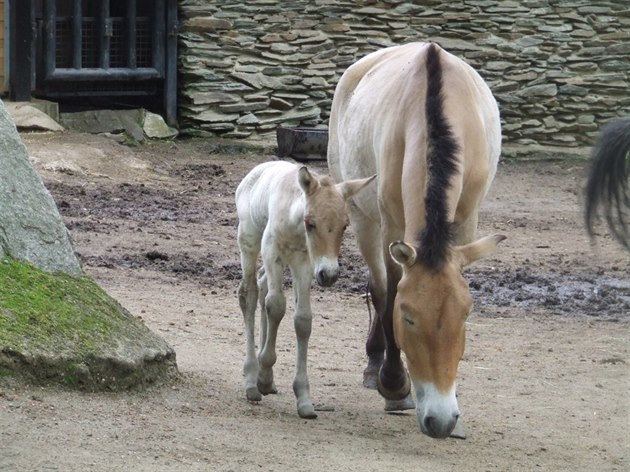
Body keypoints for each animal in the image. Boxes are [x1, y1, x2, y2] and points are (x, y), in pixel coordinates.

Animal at [237, 161, 376, 416]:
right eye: (310, 223)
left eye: (345, 225)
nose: (329, 275)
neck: (294, 221)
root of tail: (255, 172)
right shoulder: (272, 251)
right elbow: (276, 306)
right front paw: (263, 376)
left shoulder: (305, 263)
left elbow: (302, 320)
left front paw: (303, 398)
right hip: (249, 242)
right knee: (249, 294)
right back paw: (252, 380)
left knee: (262, 285)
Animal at [328, 42, 506, 440]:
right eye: (408, 319)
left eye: (465, 315)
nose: (441, 420)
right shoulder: (392, 227)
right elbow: (389, 295)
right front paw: (395, 386)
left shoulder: (466, 223)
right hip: (364, 219)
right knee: (378, 287)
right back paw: (376, 366)